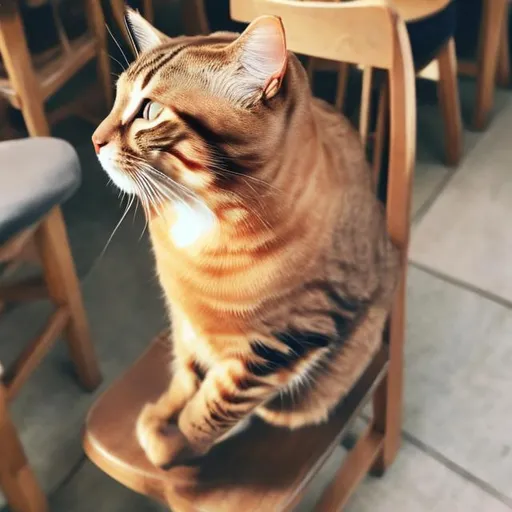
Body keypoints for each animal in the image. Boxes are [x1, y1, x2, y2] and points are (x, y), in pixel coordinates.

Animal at [94, 10, 402, 470]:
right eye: (116, 97)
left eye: (149, 110)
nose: (94, 140)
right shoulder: (188, 324)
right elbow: (188, 378)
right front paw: (164, 418)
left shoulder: (283, 345)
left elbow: (209, 412)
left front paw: (179, 447)